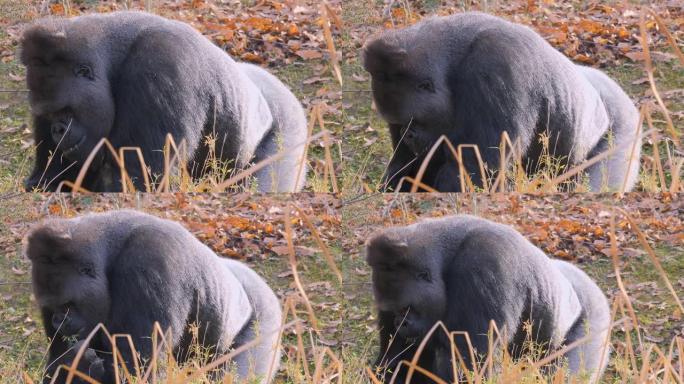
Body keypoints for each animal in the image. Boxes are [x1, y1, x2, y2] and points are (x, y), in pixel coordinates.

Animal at [20, 11, 308, 192]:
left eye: (66, 110)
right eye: (49, 115)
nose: (58, 129)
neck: (113, 61)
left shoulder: (161, 65)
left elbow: (137, 179)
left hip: (291, 126)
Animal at [24, 210, 280, 384]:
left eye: (68, 304)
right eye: (51, 307)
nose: (58, 320)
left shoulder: (149, 264)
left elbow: (136, 371)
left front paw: (79, 362)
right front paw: (69, 361)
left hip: (266, 317)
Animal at [364, 12, 640, 192]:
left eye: (415, 120)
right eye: (398, 124)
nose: (408, 136)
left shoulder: (496, 66)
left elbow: (477, 172)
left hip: (624, 125)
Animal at [366, 214, 612, 382]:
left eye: (407, 309)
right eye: (393, 311)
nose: (401, 323)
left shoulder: (484, 265)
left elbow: (468, 365)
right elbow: (395, 357)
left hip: (596, 319)